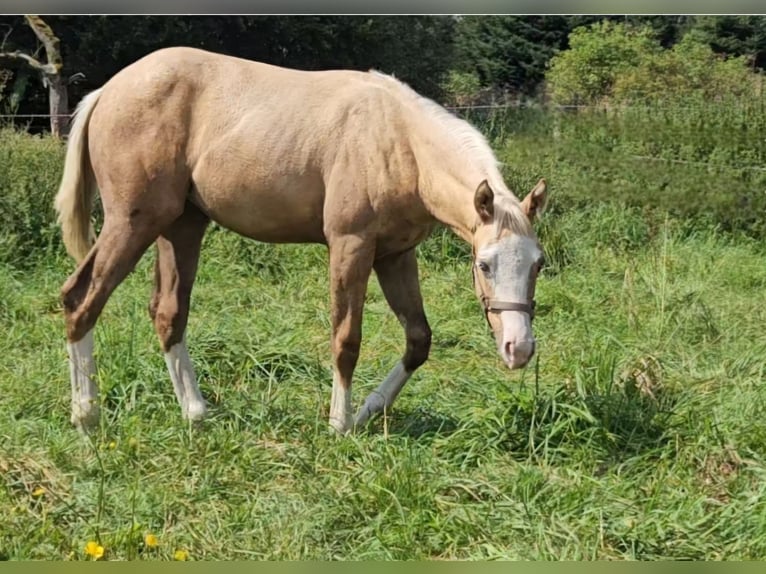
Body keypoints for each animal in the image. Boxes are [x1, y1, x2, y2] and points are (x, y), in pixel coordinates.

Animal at [55, 47, 549, 435]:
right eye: (484, 264)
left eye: (538, 264)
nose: (519, 349)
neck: (398, 142)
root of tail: (106, 92)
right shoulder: (351, 246)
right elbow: (346, 339)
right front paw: (339, 424)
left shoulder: (395, 255)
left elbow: (418, 339)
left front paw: (370, 410)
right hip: (132, 223)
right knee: (81, 300)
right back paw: (87, 418)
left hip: (181, 227)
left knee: (167, 313)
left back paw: (195, 414)